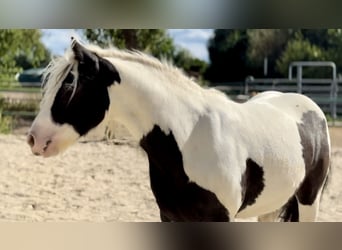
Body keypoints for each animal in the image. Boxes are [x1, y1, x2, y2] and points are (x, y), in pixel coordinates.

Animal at [27, 38, 332, 222]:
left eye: (70, 88)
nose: (33, 139)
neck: (189, 140)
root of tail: (311, 107)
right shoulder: (171, 216)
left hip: (309, 200)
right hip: (271, 204)